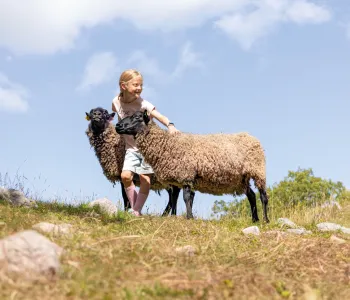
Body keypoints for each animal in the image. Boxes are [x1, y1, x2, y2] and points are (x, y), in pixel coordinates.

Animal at [115, 110, 270, 223]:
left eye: (137, 117)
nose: (118, 126)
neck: (166, 144)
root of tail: (250, 137)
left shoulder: (186, 175)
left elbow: (186, 197)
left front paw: (189, 217)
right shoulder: (178, 178)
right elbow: (177, 198)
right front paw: (179, 216)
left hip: (258, 171)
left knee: (263, 196)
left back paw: (265, 220)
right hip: (243, 178)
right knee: (251, 195)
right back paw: (254, 219)